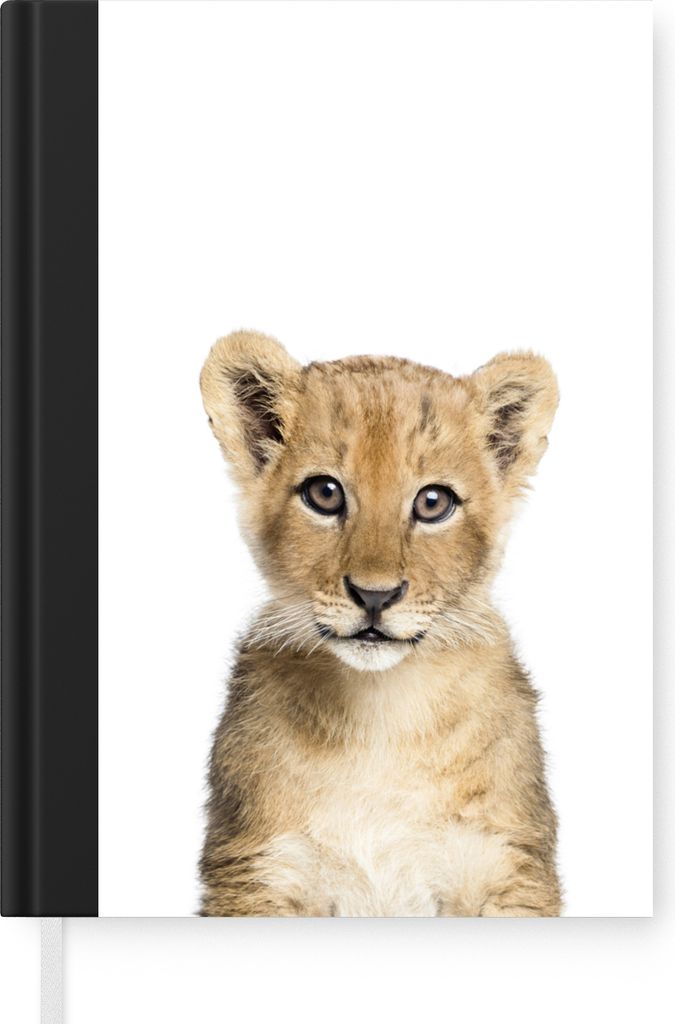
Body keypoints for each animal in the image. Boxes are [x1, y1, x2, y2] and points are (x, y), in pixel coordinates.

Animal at [198, 330, 561, 916]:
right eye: (324, 494)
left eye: (433, 502)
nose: (375, 595)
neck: (381, 715)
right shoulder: (257, 870)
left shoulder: (507, 866)